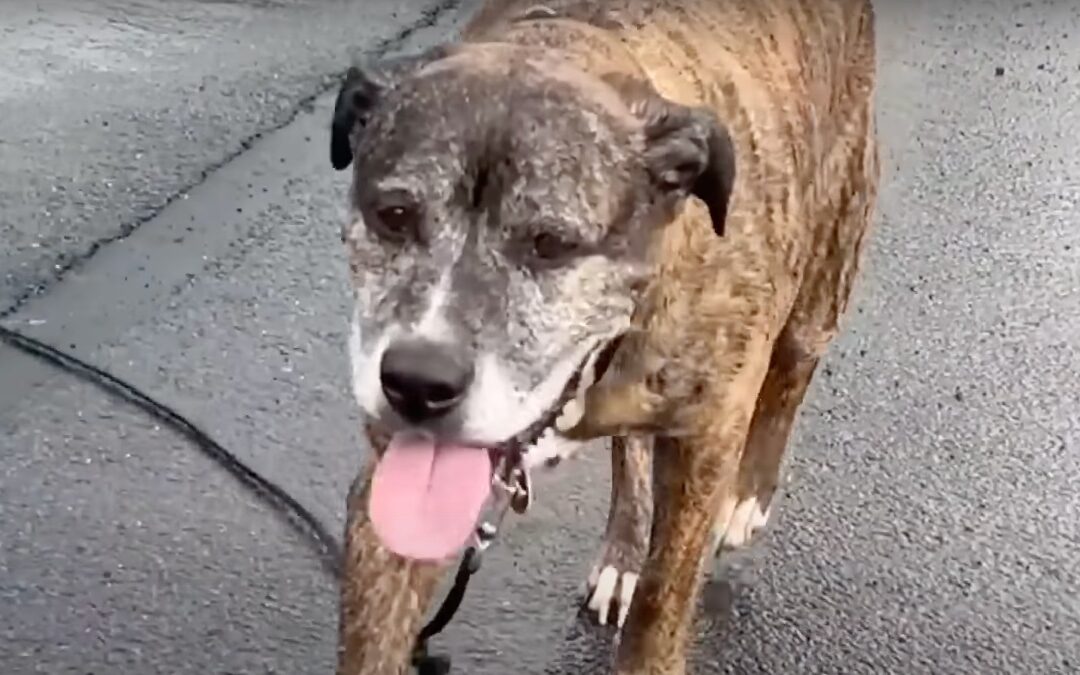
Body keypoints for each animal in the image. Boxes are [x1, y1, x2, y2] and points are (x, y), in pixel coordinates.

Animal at [332, 2, 881, 669]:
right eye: (394, 216)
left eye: (550, 244)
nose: (417, 382)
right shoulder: (388, 499)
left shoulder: (707, 440)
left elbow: (662, 600)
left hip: (828, 265)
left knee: (793, 372)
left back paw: (749, 496)